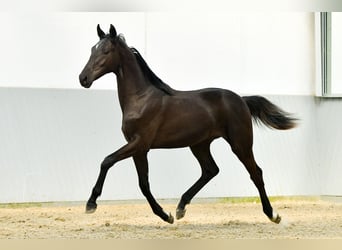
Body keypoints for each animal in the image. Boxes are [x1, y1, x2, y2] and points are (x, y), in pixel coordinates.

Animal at [78, 24, 296, 225]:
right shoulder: (139, 149)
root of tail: (241, 100)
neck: (141, 99)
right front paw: (165, 216)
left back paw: (272, 214)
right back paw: (181, 207)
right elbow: (143, 184)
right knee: (210, 170)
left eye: (106, 51)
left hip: (240, 143)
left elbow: (107, 161)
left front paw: (91, 204)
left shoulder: (140, 143)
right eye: (92, 49)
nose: (83, 78)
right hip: (199, 144)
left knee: (255, 173)